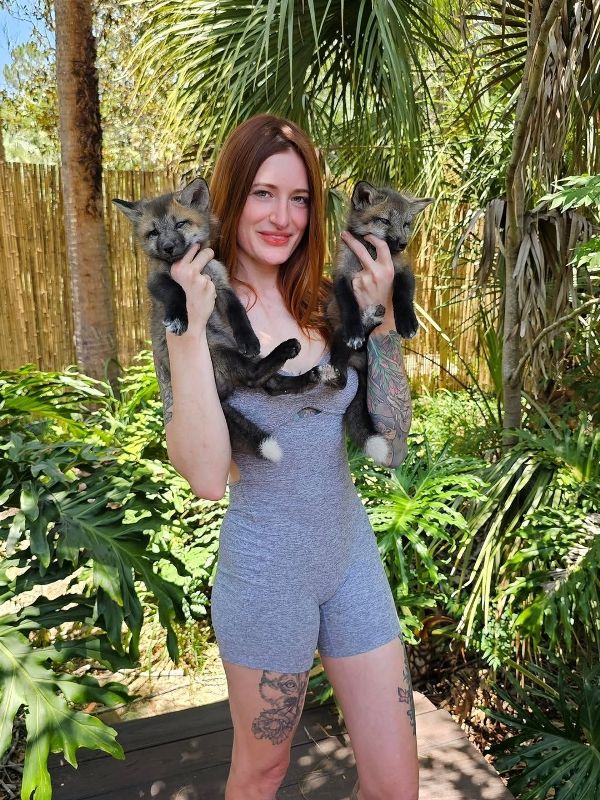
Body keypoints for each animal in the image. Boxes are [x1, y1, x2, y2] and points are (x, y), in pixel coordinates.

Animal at [112, 178, 301, 462]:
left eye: (180, 224)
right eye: (153, 232)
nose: (168, 247)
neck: (193, 268)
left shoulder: (222, 285)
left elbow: (238, 313)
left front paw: (249, 338)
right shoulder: (156, 280)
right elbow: (176, 292)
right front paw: (178, 317)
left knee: (271, 383)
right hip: (219, 353)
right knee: (254, 377)